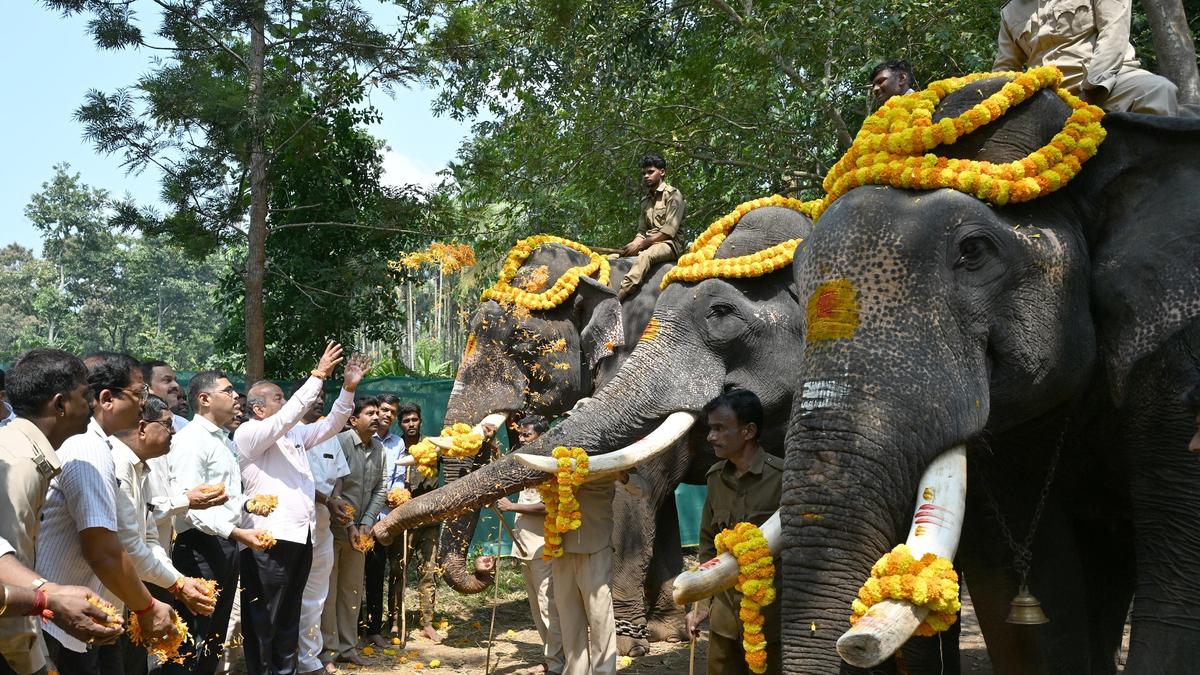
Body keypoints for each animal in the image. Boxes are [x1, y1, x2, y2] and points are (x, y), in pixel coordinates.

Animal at [781, 77, 1200, 674]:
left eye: (974, 251)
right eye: (795, 278)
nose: (852, 645)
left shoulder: (1180, 355)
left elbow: (1178, 599)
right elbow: (1033, 605)